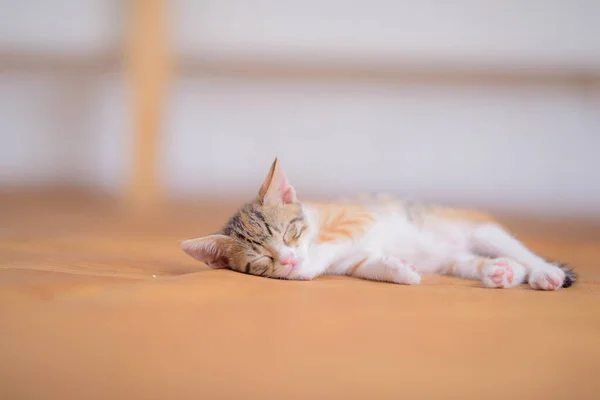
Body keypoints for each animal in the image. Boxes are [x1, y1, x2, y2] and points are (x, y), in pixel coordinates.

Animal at [183, 157, 576, 290]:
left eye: (290, 233)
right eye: (261, 260)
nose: (288, 259)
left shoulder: (355, 216)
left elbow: (325, 249)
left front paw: (302, 268)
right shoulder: (353, 258)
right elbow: (366, 263)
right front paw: (399, 269)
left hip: (480, 228)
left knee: (523, 253)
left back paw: (543, 272)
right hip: (453, 258)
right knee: (473, 262)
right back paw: (500, 272)